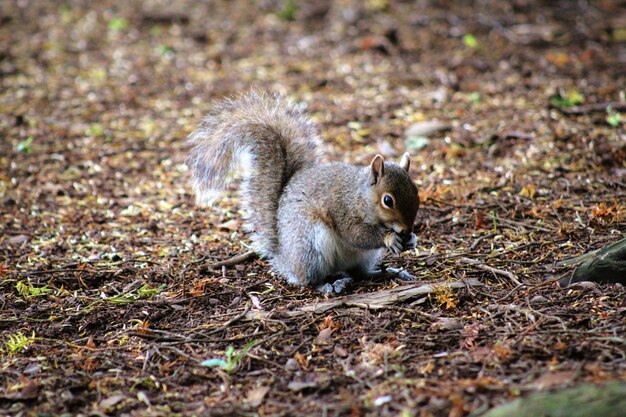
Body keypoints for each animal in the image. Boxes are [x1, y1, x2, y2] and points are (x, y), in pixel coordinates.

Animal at [186, 91, 420, 292]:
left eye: (416, 191)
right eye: (388, 200)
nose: (406, 229)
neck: (360, 196)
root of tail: (286, 259)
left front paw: (411, 239)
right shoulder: (344, 210)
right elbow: (356, 235)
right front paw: (390, 239)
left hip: (362, 257)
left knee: (360, 273)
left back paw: (388, 272)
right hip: (310, 247)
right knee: (309, 280)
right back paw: (328, 285)